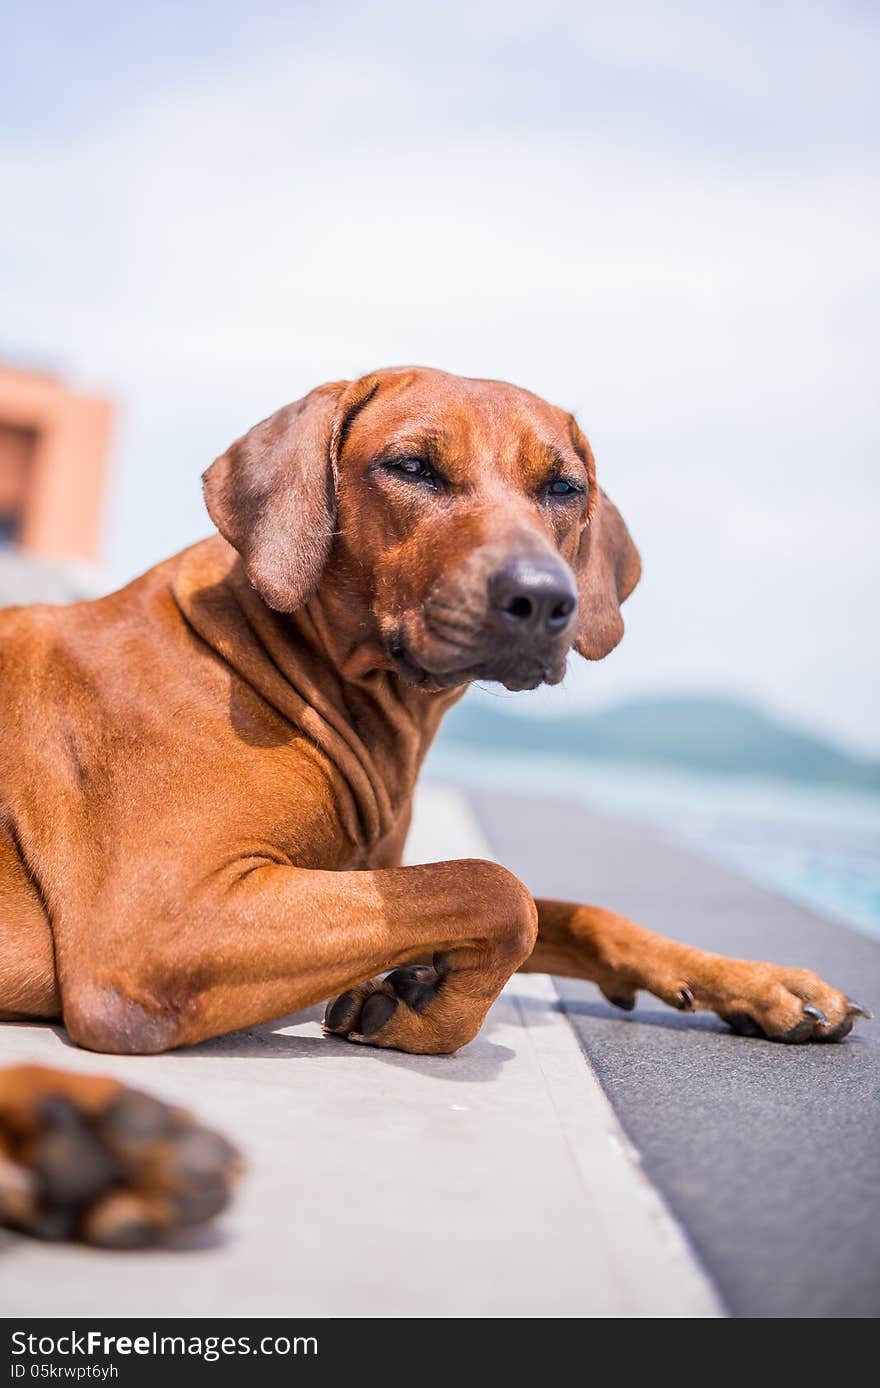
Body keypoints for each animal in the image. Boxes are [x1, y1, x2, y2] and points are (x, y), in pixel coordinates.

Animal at [0, 369, 866, 1249]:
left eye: (564, 488)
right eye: (412, 468)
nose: (543, 598)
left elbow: (578, 911)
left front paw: (758, 982)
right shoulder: (157, 928)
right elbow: (500, 889)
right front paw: (429, 1008)